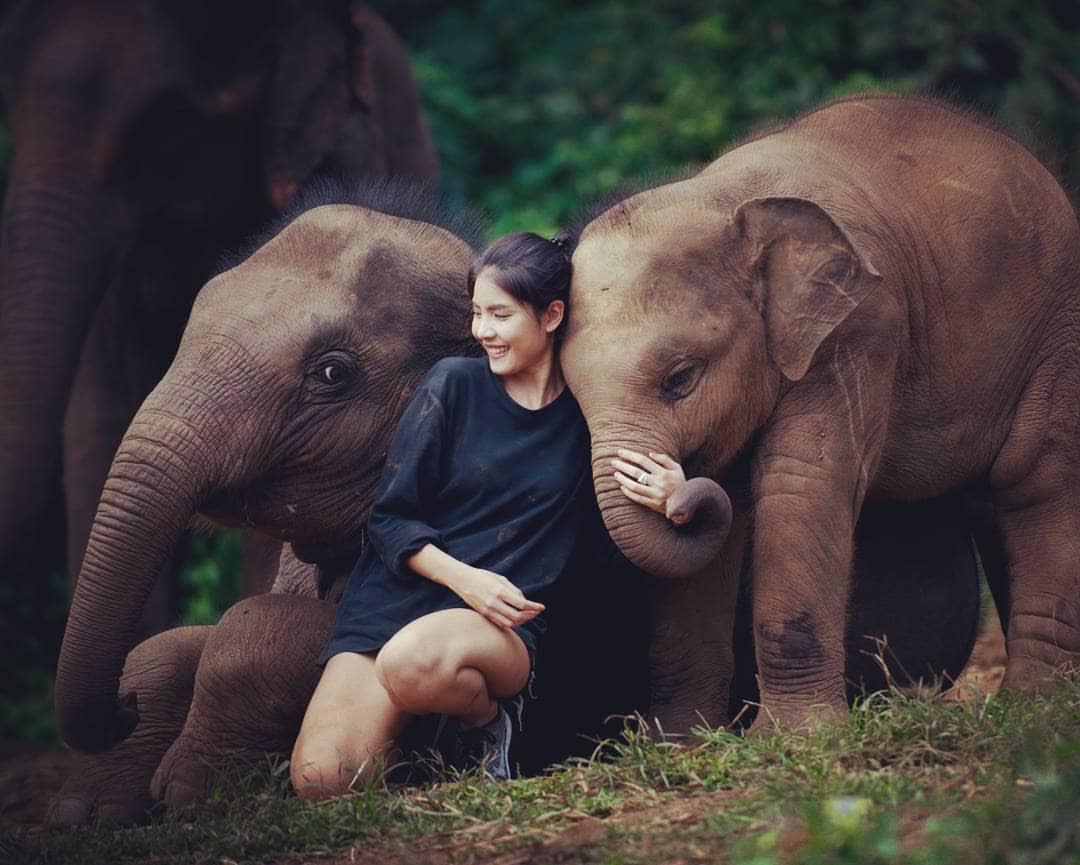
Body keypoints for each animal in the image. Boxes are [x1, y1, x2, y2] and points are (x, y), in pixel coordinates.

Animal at [565, 92, 1080, 730]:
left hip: (1057, 332)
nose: (672, 490)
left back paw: (1035, 707)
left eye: (680, 379)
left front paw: (795, 737)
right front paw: (681, 741)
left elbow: (801, 483)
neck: (724, 198)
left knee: (1034, 481)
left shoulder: (859, 328)